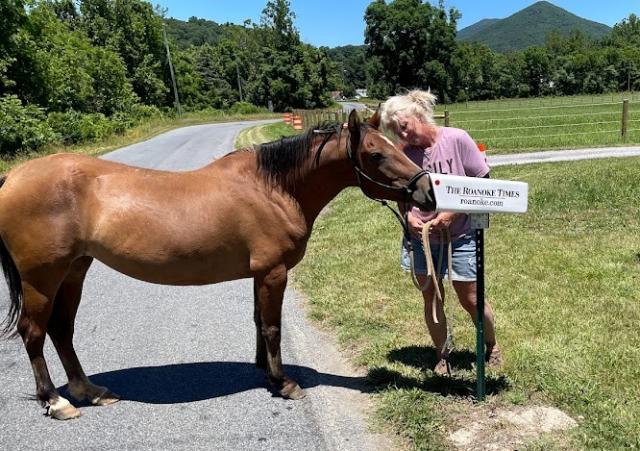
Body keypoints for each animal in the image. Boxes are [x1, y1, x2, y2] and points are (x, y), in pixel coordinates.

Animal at [0, 109, 436, 420]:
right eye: (376, 153)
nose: (427, 193)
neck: (273, 189)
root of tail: (14, 177)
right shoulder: (274, 272)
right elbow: (273, 327)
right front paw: (283, 382)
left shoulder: (260, 273)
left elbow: (260, 322)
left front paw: (266, 373)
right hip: (42, 279)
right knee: (33, 333)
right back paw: (56, 401)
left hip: (75, 270)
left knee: (61, 330)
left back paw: (89, 392)